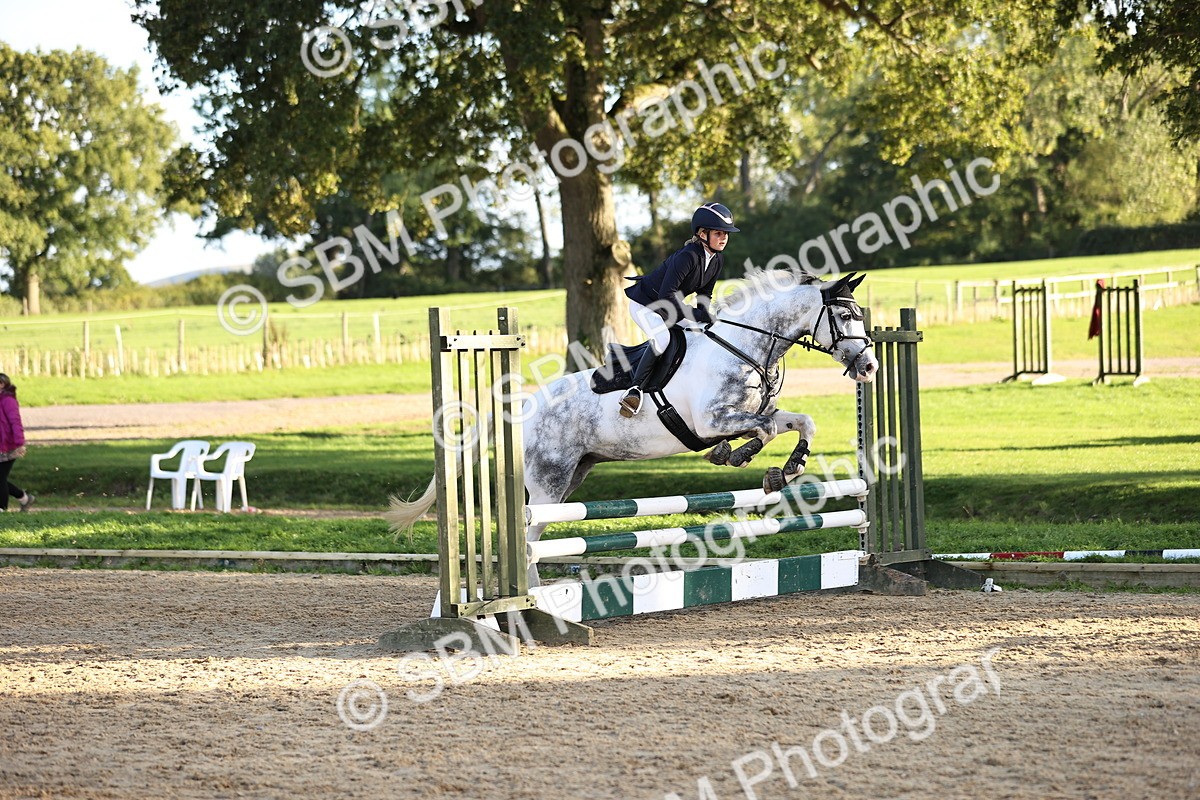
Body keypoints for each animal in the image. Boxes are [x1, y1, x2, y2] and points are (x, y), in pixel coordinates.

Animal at [387, 270, 878, 547]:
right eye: (844, 317)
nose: (870, 366)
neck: (742, 344)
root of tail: (523, 404)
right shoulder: (710, 421)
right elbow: (763, 430)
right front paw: (735, 455)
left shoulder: (754, 413)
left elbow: (797, 423)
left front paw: (785, 470)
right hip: (548, 483)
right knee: (529, 537)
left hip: (575, 474)